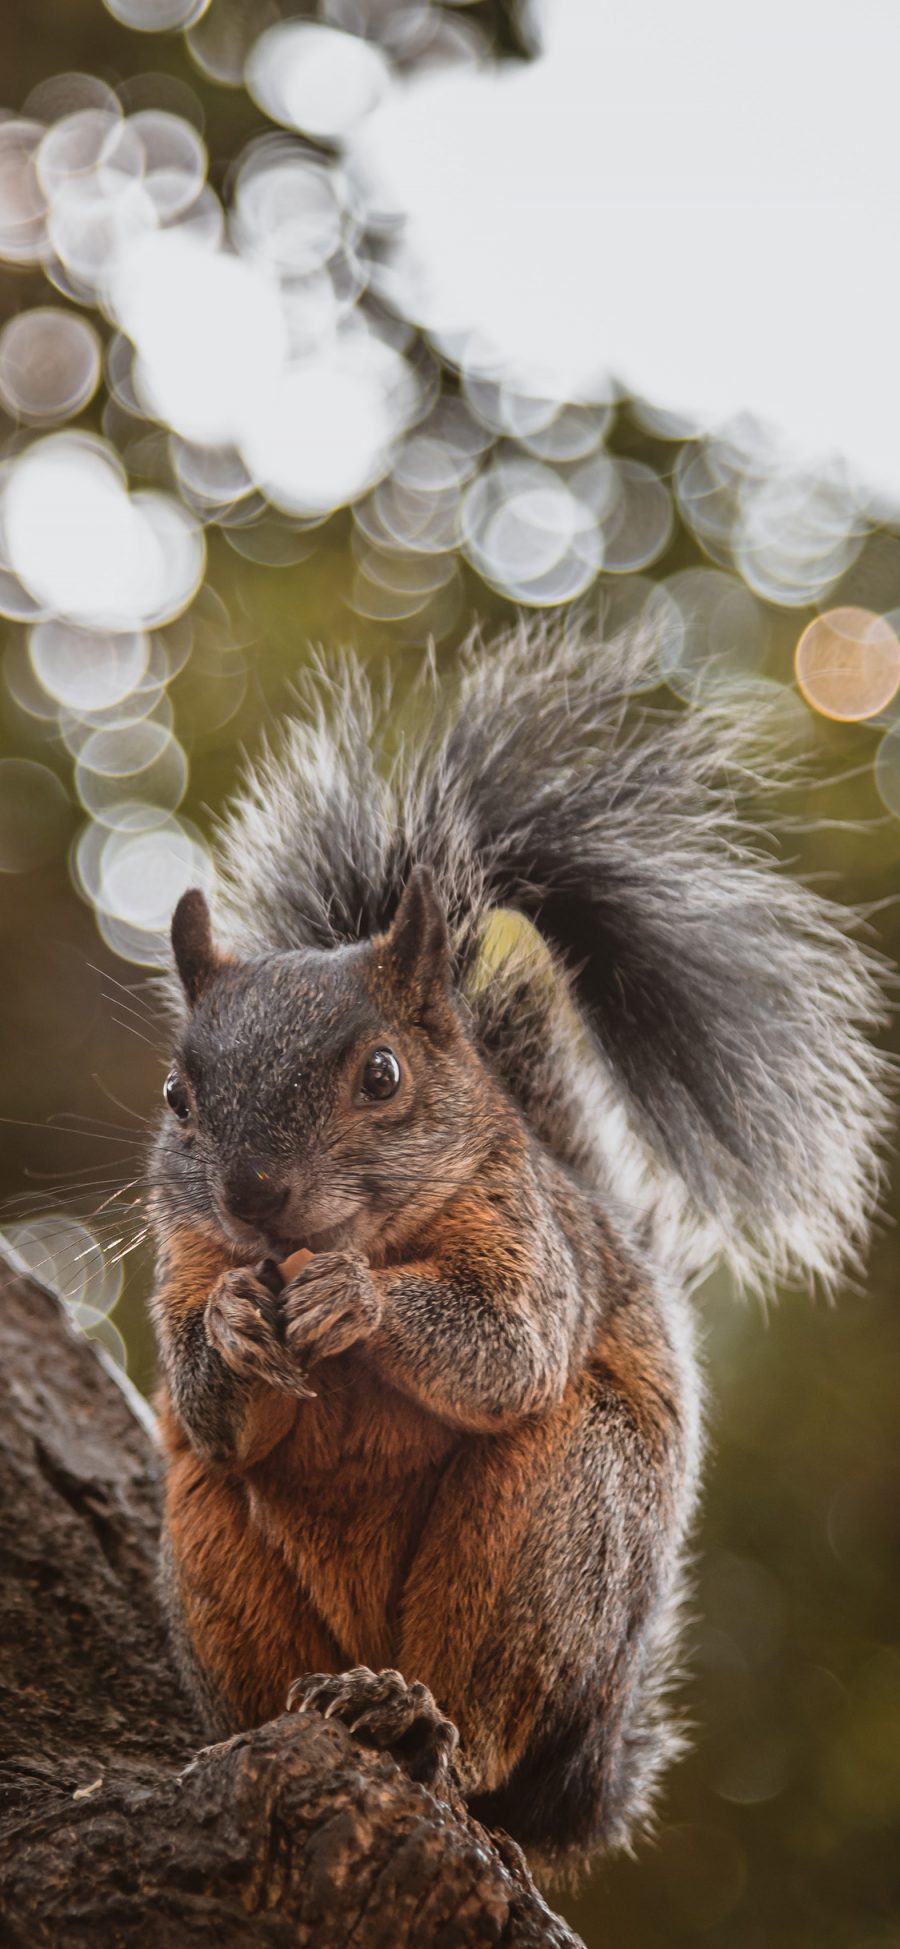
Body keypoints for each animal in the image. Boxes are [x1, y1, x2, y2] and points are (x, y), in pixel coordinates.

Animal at [149, 627, 892, 1871]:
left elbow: (507, 1349)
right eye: (176, 1095)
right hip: (212, 1552)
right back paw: (287, 1720)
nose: (255, 1196)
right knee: (250, 1605)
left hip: (554, 1537)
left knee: (486, 1719)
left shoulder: (529, 1238)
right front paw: (236, 1325)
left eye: (383, 1074)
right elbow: (211, 1411)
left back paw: (421, 1722)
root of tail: (582, 1780)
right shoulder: (184, 1261)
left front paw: (356, 1295)